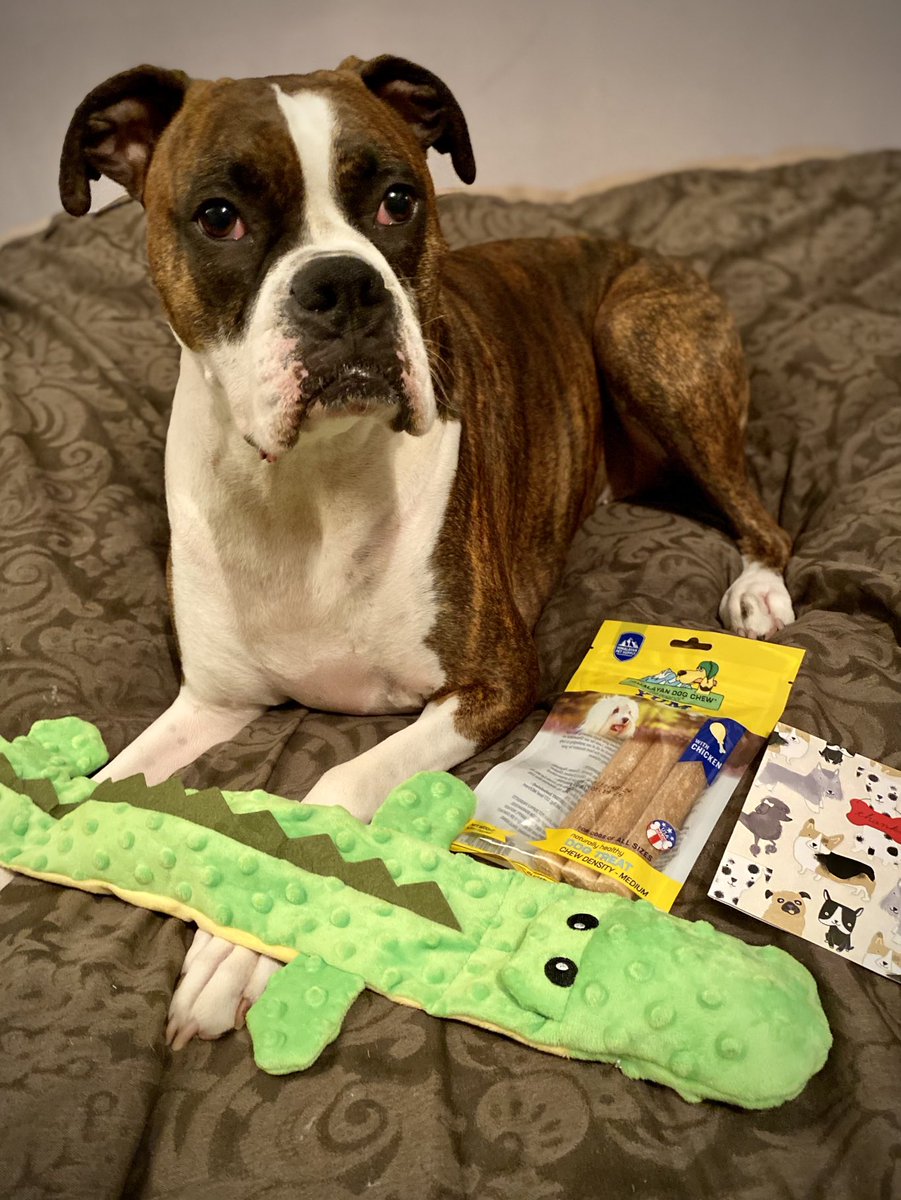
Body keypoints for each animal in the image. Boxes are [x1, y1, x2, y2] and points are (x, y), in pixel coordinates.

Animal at [56, 56, 791, 1046]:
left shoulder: (492, 683)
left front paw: (240, 944)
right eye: (218, 216)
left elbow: (334, 782)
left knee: (763, 514)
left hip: (645, 343)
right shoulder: (209, 703)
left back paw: (757, 587)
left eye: (398, 200)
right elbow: (109, 783)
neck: (311, 486)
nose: (343, 285)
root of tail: (641, 249)